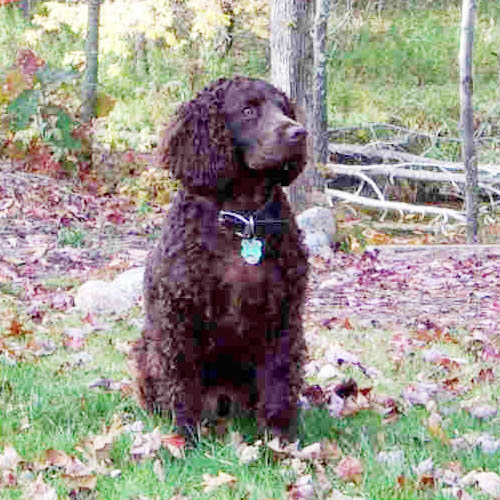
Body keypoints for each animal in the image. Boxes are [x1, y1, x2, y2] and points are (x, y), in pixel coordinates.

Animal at [135, 75, 310, 442]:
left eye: (284, 109)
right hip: (147, 347)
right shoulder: (178, 315)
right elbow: (182, 383)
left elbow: (279, 384)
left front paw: (280, 442)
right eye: (248, 110)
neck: (242, 218)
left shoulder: (284, 316)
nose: (299, 133)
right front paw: (184, 438)